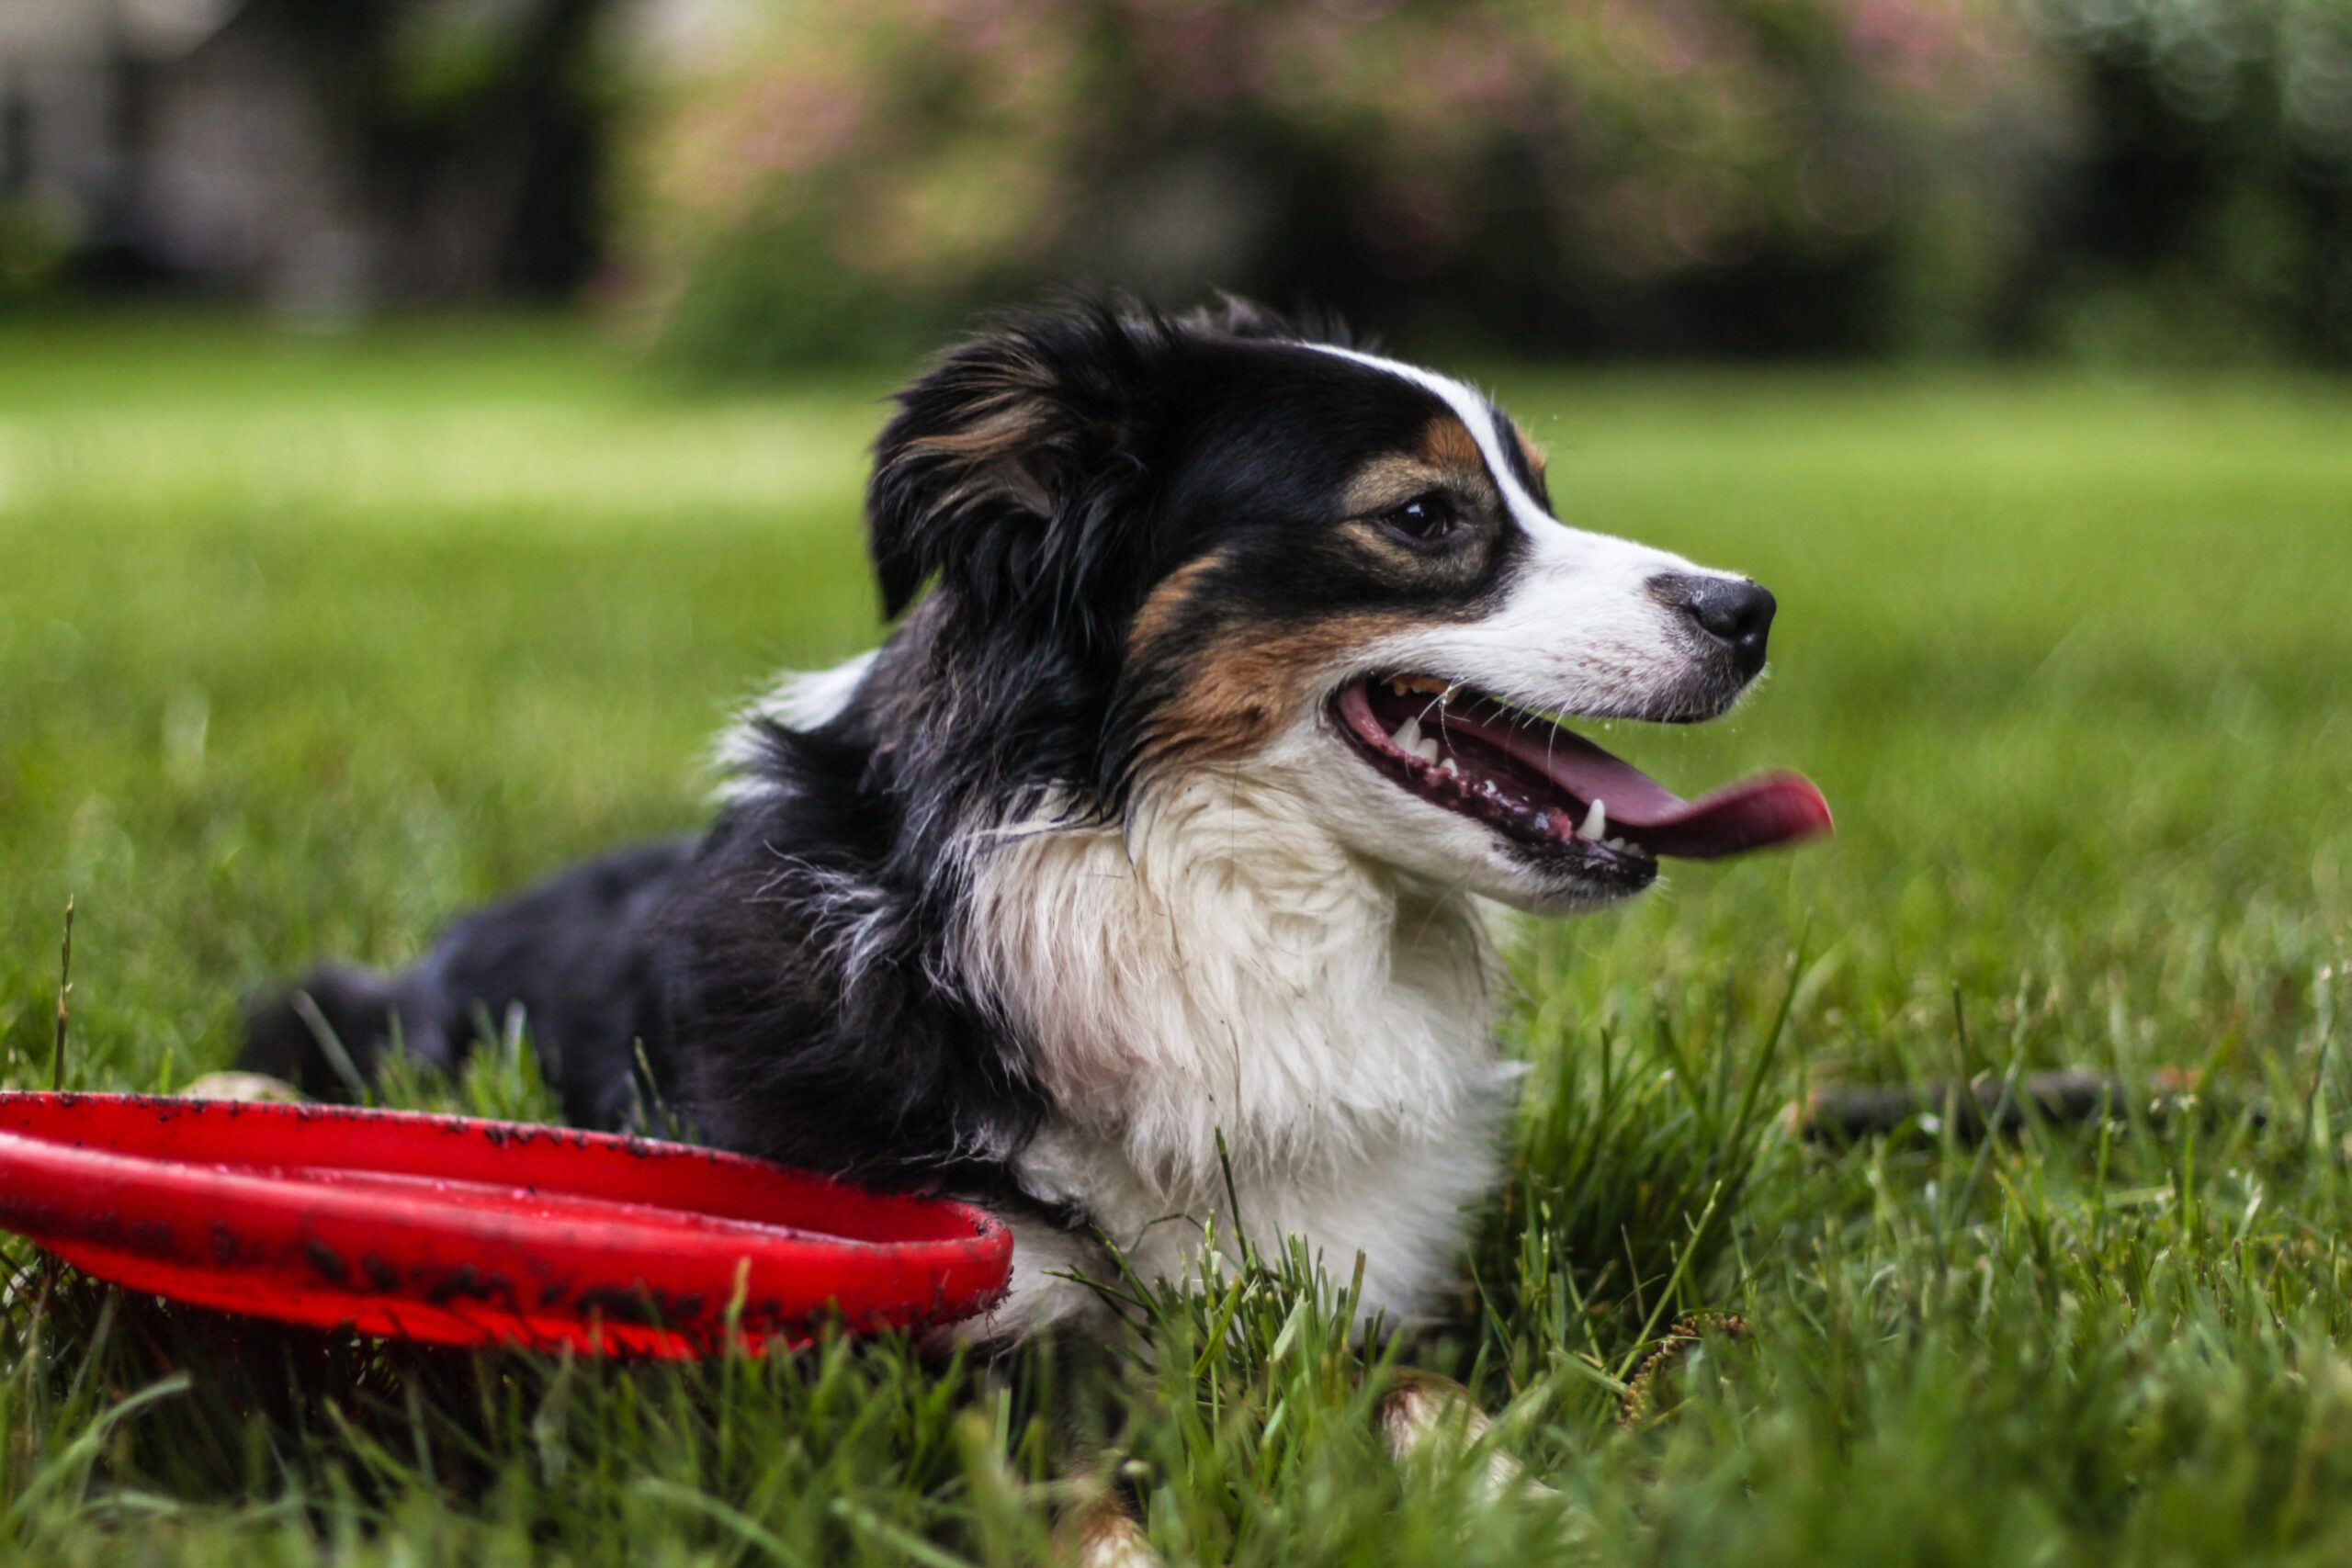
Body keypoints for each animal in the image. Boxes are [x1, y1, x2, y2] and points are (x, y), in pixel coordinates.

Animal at [243, 300, 1815, 1551]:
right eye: (1426, 516)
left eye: (1537, 491)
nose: (1751, 610)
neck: (1174, 883)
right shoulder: (935, 1338)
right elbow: (1077, 1505)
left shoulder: (1351, 1298)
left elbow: (1434, 1391)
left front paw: (1543, 1504)